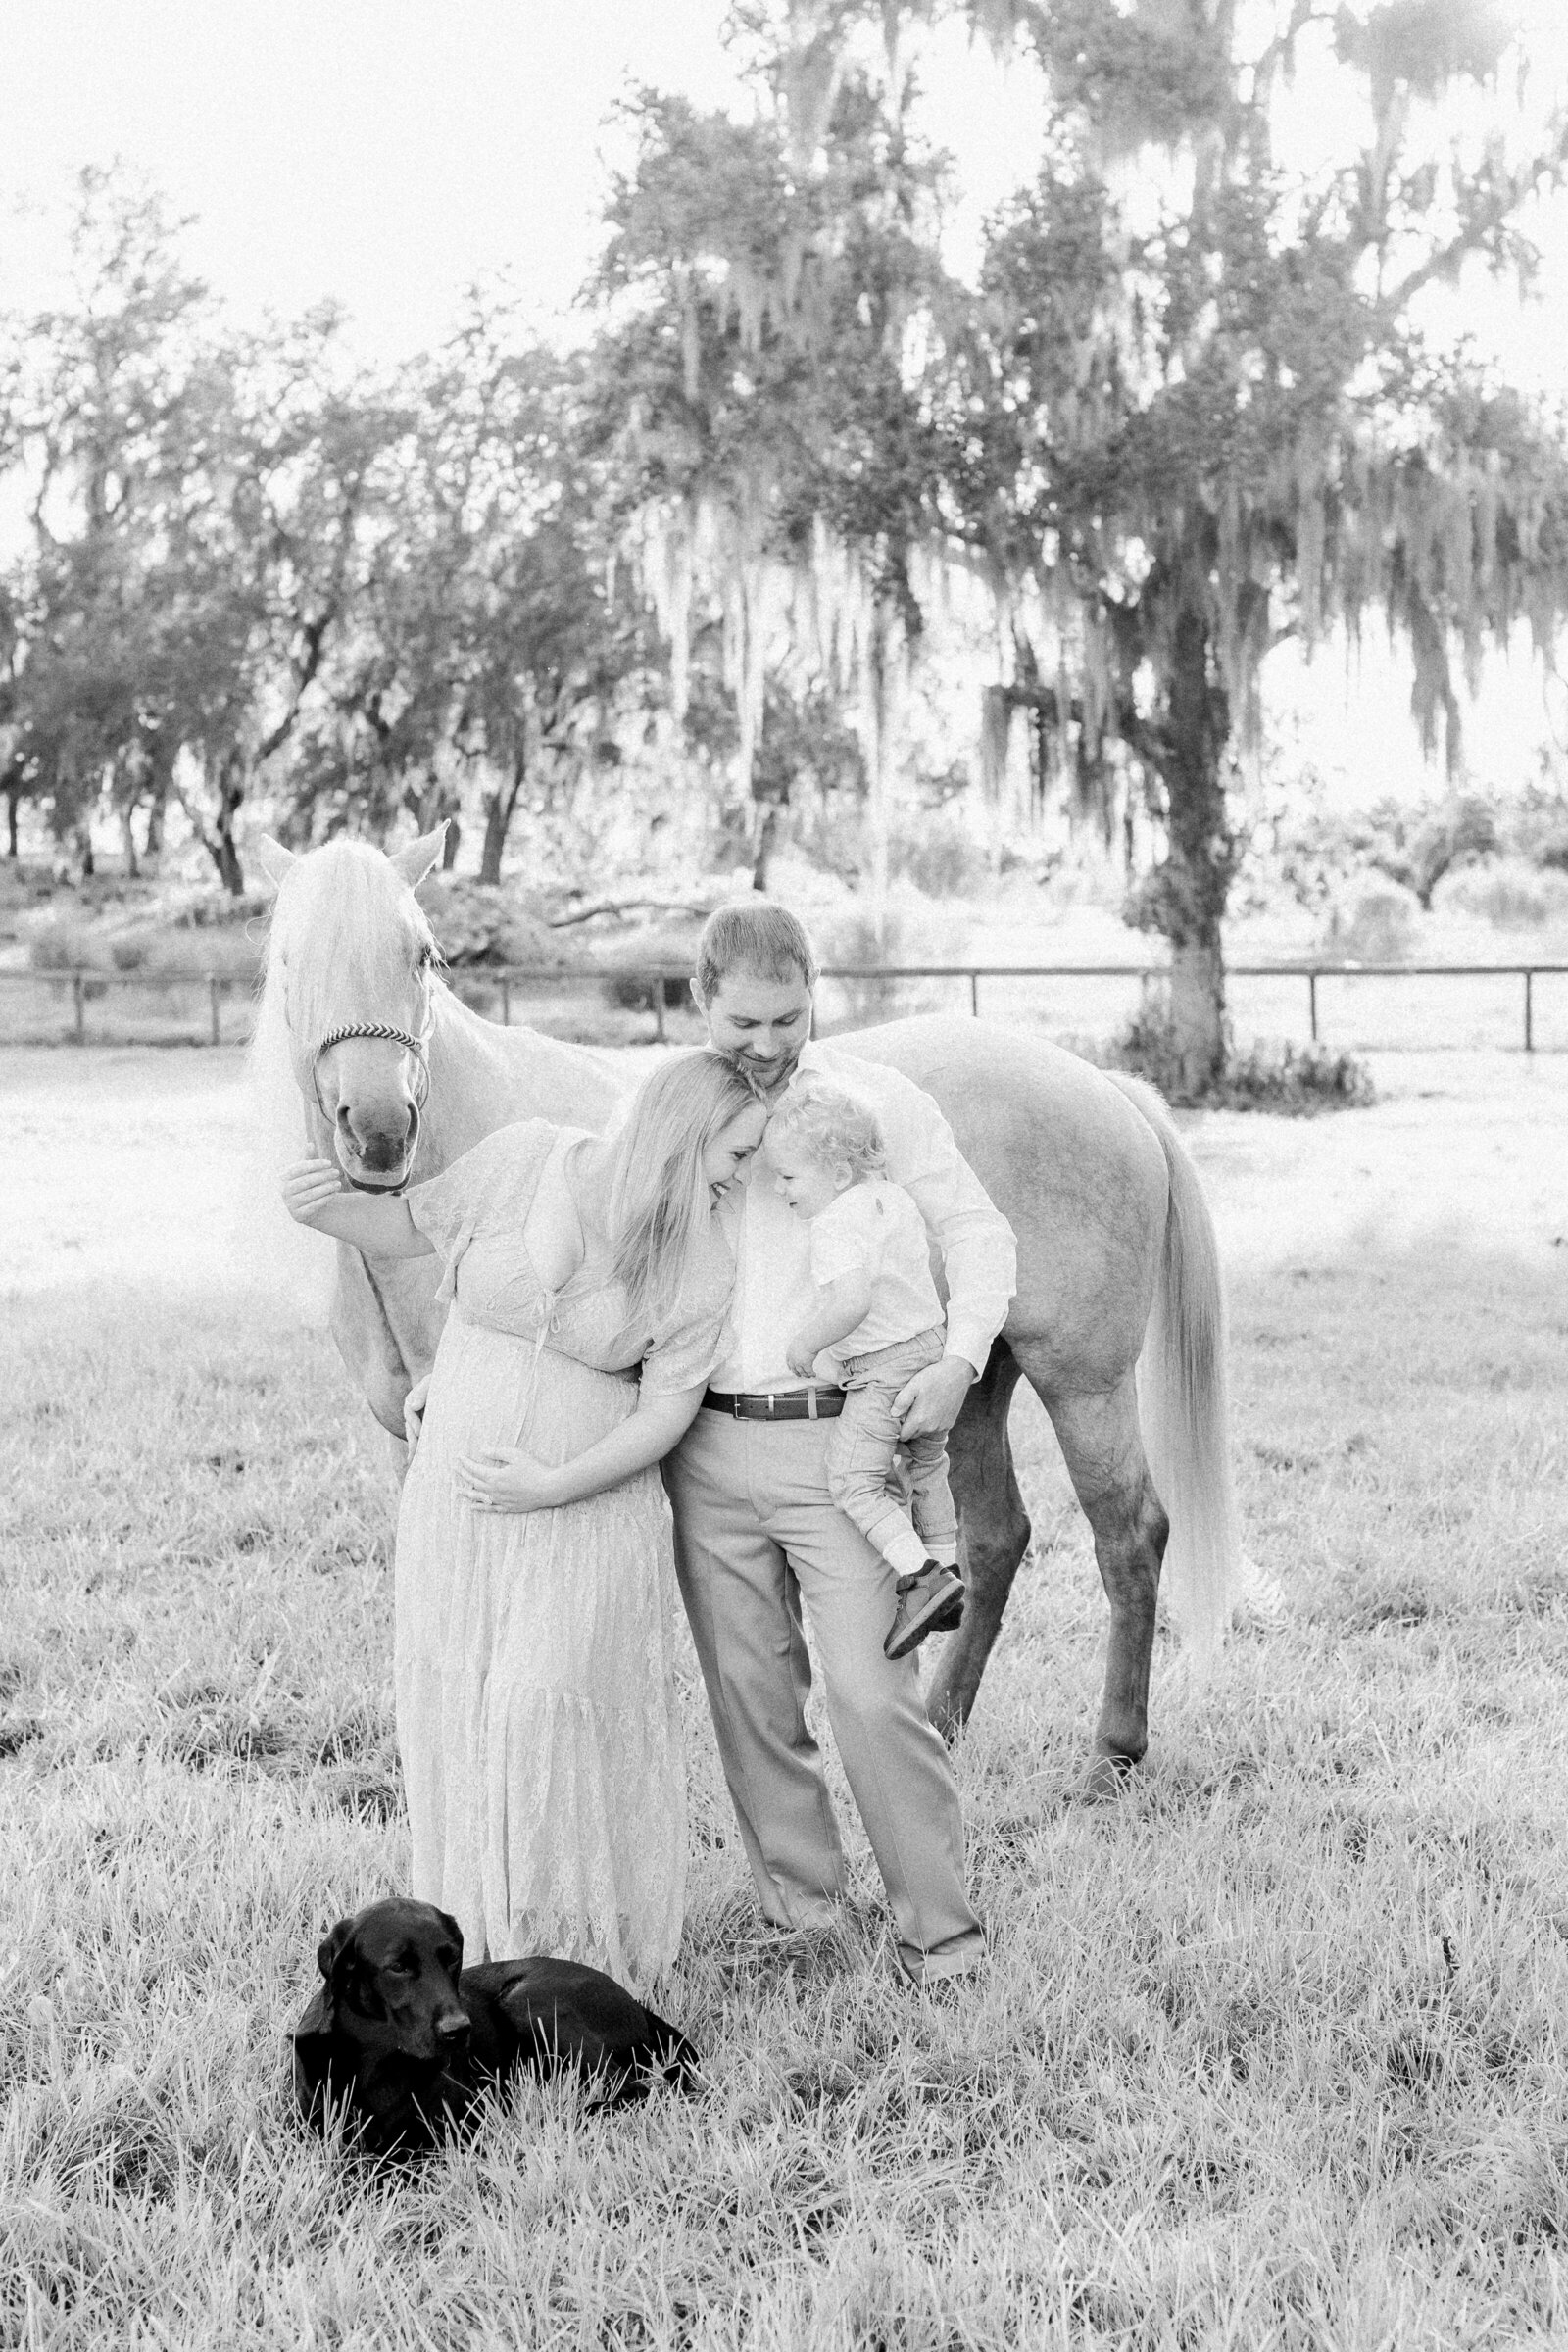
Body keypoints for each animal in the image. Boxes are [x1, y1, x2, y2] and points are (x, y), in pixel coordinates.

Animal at [249, 829, 1241, 1796]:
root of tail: (1110, 1088)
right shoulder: (413, 1439)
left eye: (422, 955)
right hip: (965, 1380)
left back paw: (1111, 1756)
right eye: (288, 960)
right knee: (997, 1535)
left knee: (1129, 1533)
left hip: (1083, 1381)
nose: (379, 1129)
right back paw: (948, 1720)